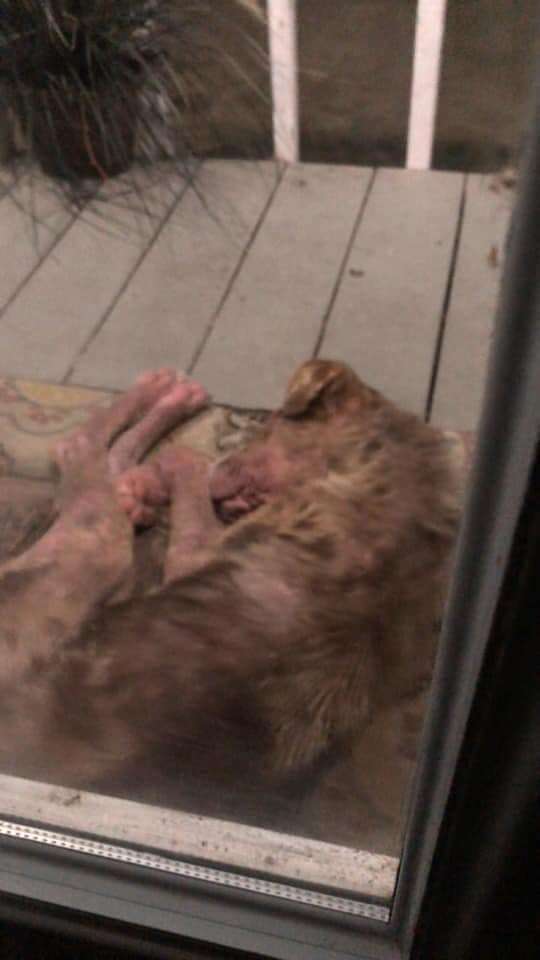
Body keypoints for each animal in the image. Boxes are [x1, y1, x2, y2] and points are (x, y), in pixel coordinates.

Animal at [0, 364, 468, 852]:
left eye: (269, 423)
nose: (226, 486)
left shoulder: (198, 553)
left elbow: (188, 464)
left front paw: (154, 480)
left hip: (92, 552)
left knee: (82, 453)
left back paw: (164, 401)